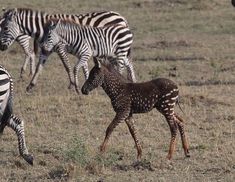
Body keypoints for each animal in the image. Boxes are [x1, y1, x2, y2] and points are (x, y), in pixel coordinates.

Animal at [0, 8, 130, 91]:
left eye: (5, 28)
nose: (1, 47)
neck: (43, 29)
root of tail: (120, 16)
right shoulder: (46, 50)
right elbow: (39, 67)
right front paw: (30, 85)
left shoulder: (60, 47)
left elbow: (67, 66)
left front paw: (72, 85)